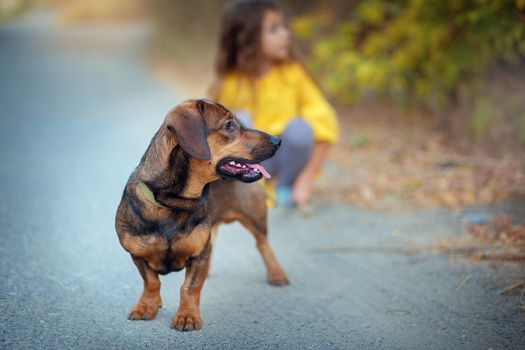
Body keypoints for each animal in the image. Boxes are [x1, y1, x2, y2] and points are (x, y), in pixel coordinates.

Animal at [113, 98, 290, 330]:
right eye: (228, 125)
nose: (277, 141)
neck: (174, 203)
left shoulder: (198, 255)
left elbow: (190, 288)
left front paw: (187, 316)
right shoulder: (137, 254)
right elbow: (151, 282)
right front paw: (147, 306)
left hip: (254, 216)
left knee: (263, 244)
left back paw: (277, 273)